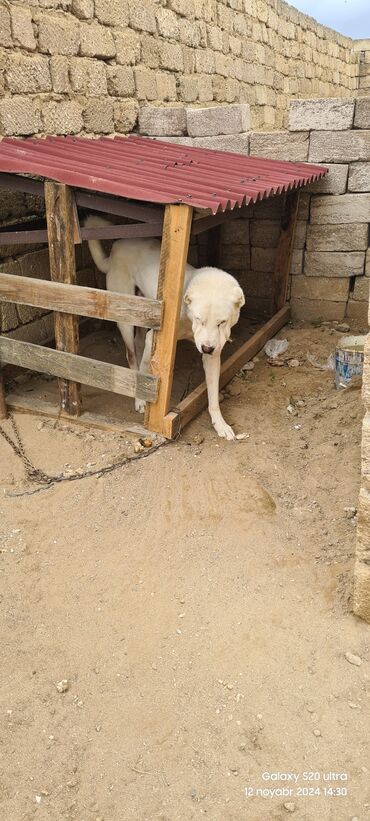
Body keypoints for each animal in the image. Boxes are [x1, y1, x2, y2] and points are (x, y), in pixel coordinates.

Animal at [85, 215, 244, 438]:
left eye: (222, 322)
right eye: (199, 319)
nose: (206, 348)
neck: (186, 314)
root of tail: (116, 247)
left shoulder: (214, 353)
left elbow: (213, 395)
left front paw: (220, 424)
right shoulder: (156, 339)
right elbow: (146, 371)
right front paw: (142, 399)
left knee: (139, 344)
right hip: (126, 318)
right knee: (132, 356)